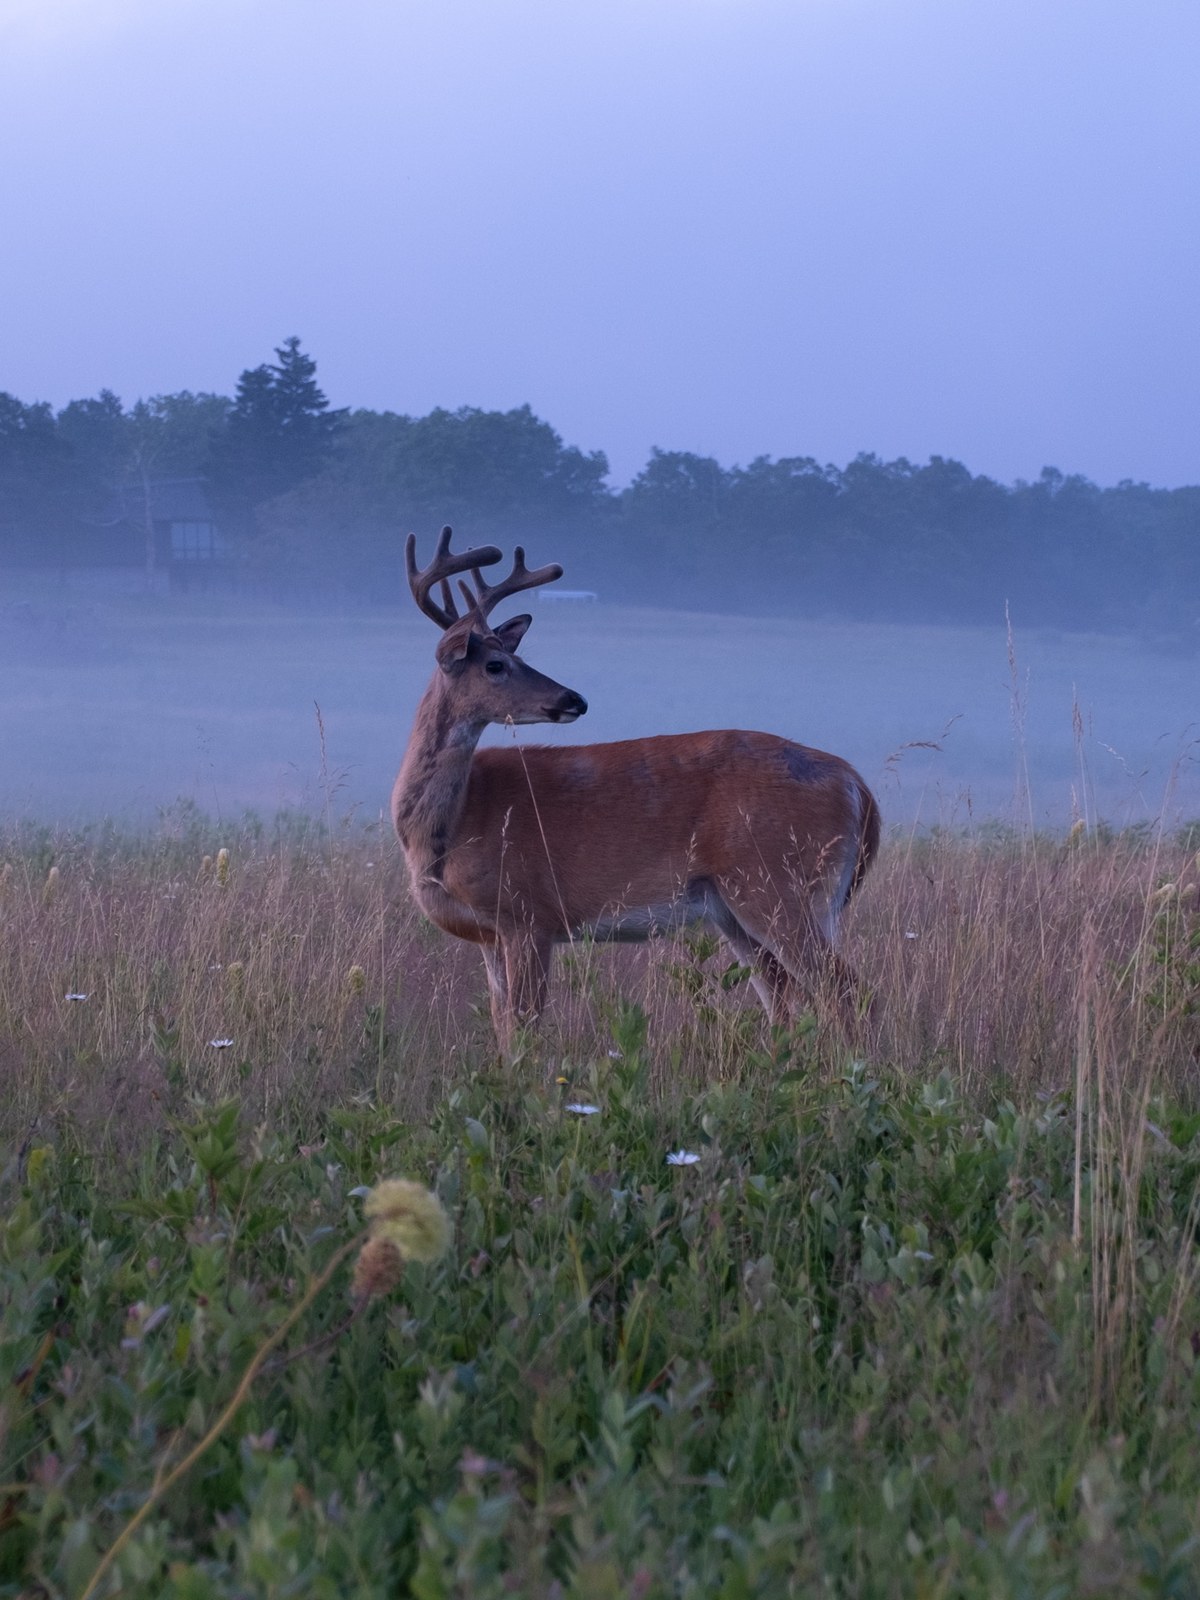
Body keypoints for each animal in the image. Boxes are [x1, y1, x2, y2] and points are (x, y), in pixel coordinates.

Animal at [392, 526, 881, 1052]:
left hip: (780, 884)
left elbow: (526, 1030)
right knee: (784, 997)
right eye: (497, 665)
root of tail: (857, 786)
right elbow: (504, 1030)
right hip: (738, 909)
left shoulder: (528, 912)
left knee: (847, 992)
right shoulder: (489, 935)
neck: (453, 823)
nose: (574, 699)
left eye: (515, 656)